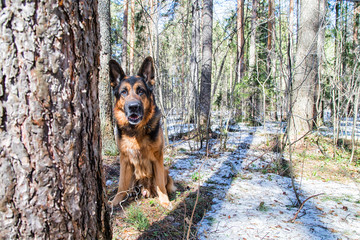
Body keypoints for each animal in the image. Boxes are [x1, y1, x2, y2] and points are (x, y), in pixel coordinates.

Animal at [108, 57, 176, 207]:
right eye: (124, 92)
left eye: (141, 91)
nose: (133, 107)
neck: (136, 131)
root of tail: (144, 188)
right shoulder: (124, 159)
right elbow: (121, 185)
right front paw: (115, 201)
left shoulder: (158, 157)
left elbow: (160, 184)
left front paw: (165, 201)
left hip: (165, 169)